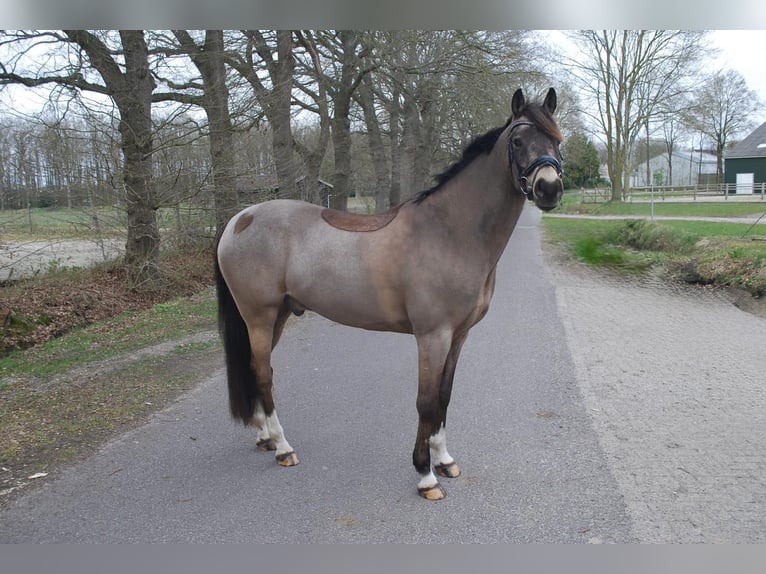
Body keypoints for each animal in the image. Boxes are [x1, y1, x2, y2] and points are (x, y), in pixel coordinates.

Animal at [214, 87, 564, 500]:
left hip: (279, 315)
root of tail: (240, 219)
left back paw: (265, 437)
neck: (450, 232)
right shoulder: (432, 336)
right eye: (518, 141)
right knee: (264, 374)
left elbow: (444, 396)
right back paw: (284, 448)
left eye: (558, 140)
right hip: (259, 316)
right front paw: (425, 475)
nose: (549, 188)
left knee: (257, 370)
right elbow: (426, 402)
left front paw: (445, 461)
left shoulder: (458, 336)